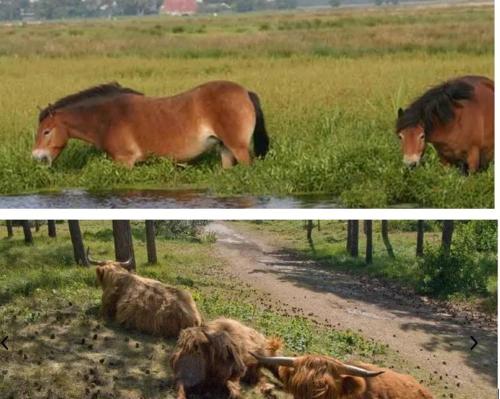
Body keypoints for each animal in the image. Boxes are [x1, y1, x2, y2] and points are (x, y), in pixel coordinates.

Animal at [31, 81, 270, 169]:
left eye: (46, 131)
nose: (37, 157)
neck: (108, 118)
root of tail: (245, 92)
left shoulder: (125, 162)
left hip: (238, 148)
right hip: (225, 148)